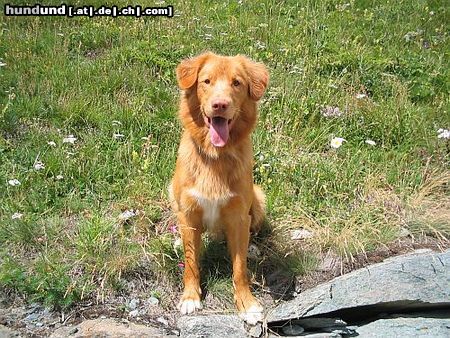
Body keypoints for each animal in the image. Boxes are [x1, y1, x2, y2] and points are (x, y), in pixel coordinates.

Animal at [168, 51, 268, 324]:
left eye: (237, 83)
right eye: (206, 81)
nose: (220, 105)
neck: (215, 156)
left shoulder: (238, 214)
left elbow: (239, 268)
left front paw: (247, 303)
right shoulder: (189, 212)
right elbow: (191, 262)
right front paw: (191, 297)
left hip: (259, 198)